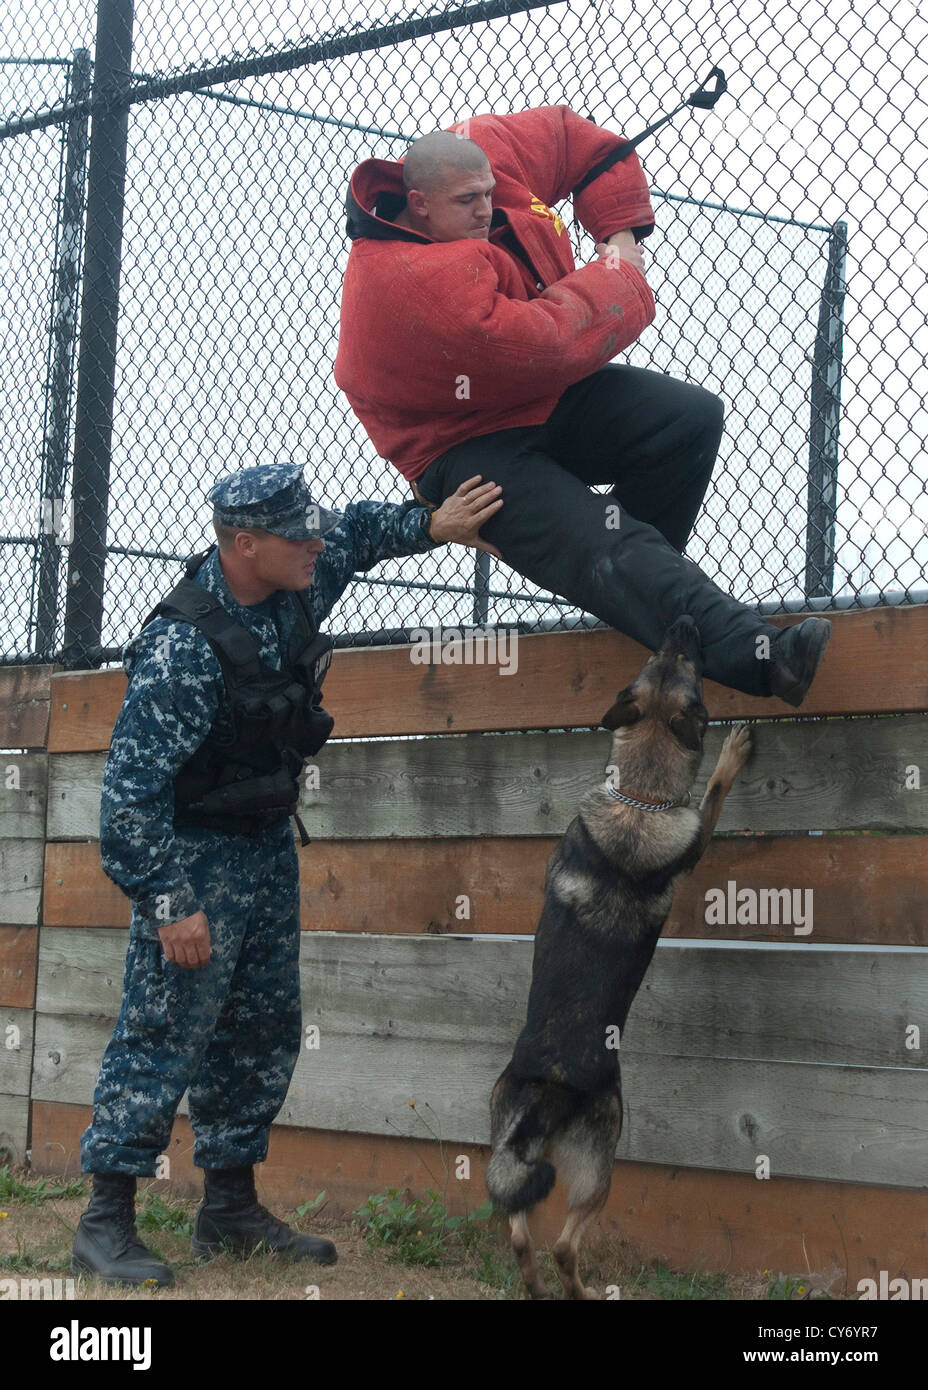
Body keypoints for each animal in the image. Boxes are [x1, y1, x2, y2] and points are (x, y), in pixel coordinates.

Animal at [486, 614, 755, 1295]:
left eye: (658, 656)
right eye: (685, 662)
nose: (681, 620)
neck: (639, 793)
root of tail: (547, 1093)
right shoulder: (695, 834)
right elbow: (712, 793)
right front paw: (734, 752)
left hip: (506, 1143)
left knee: (518, 1231)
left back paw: (533, 1288)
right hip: (603, 1161)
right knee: (562, 1245)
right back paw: (582, 1290)